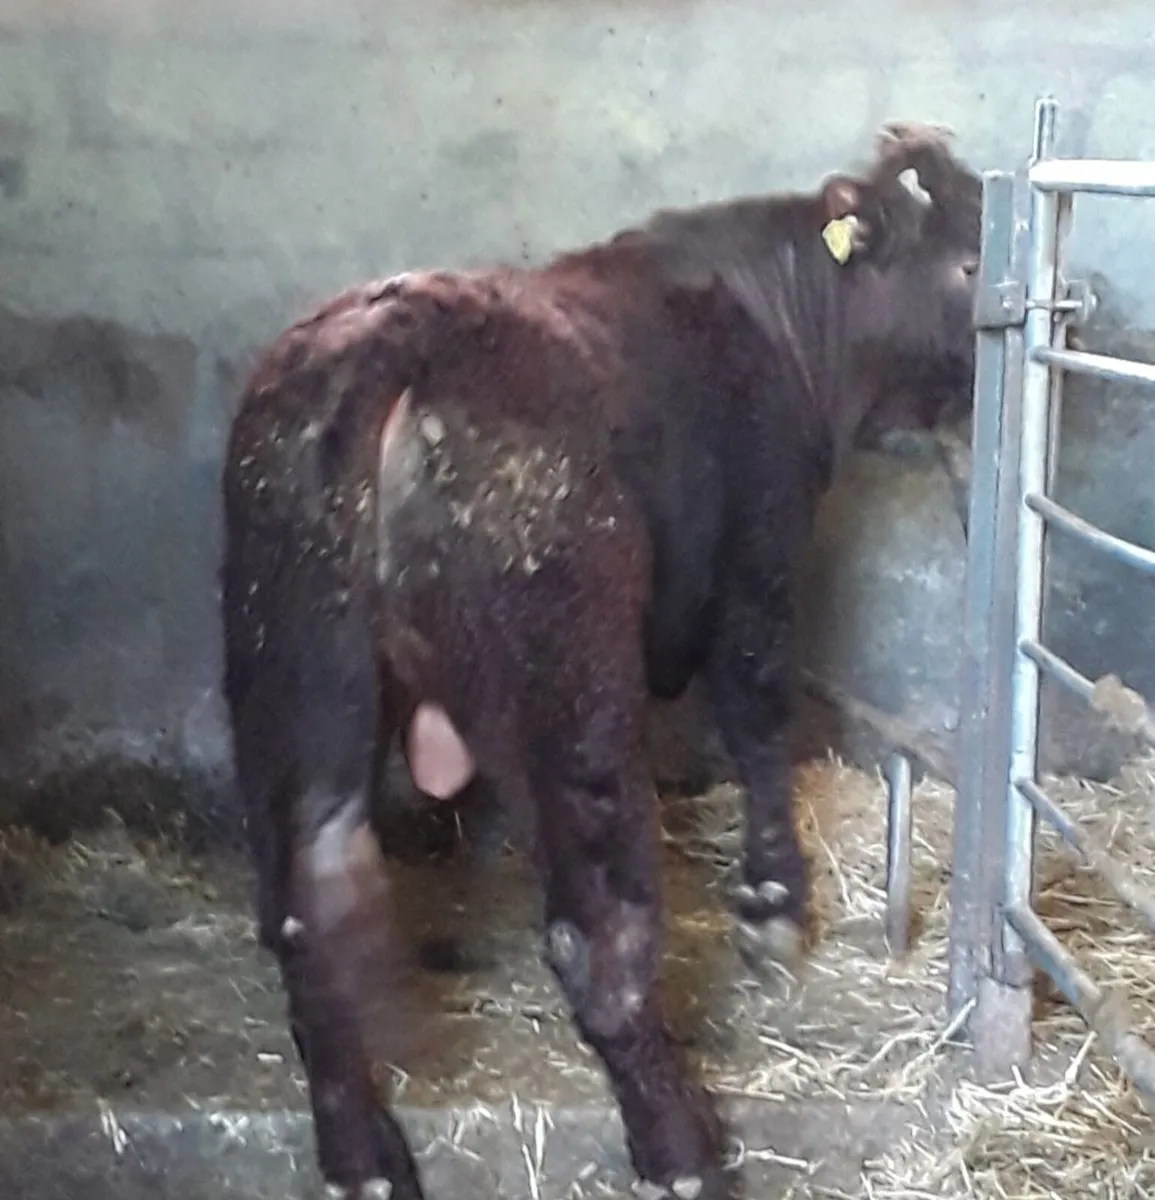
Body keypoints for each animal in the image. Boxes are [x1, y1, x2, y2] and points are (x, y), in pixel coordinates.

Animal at [220, 121, 982, 1200]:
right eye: (968, 261)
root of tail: (391, 332)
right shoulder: (759, 555)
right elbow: (757, 717)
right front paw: (773, 907)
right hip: (570, 682)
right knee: (599, 938)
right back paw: (679, 1151)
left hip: (286, 687)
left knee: (302, 912)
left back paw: (362, 1160)